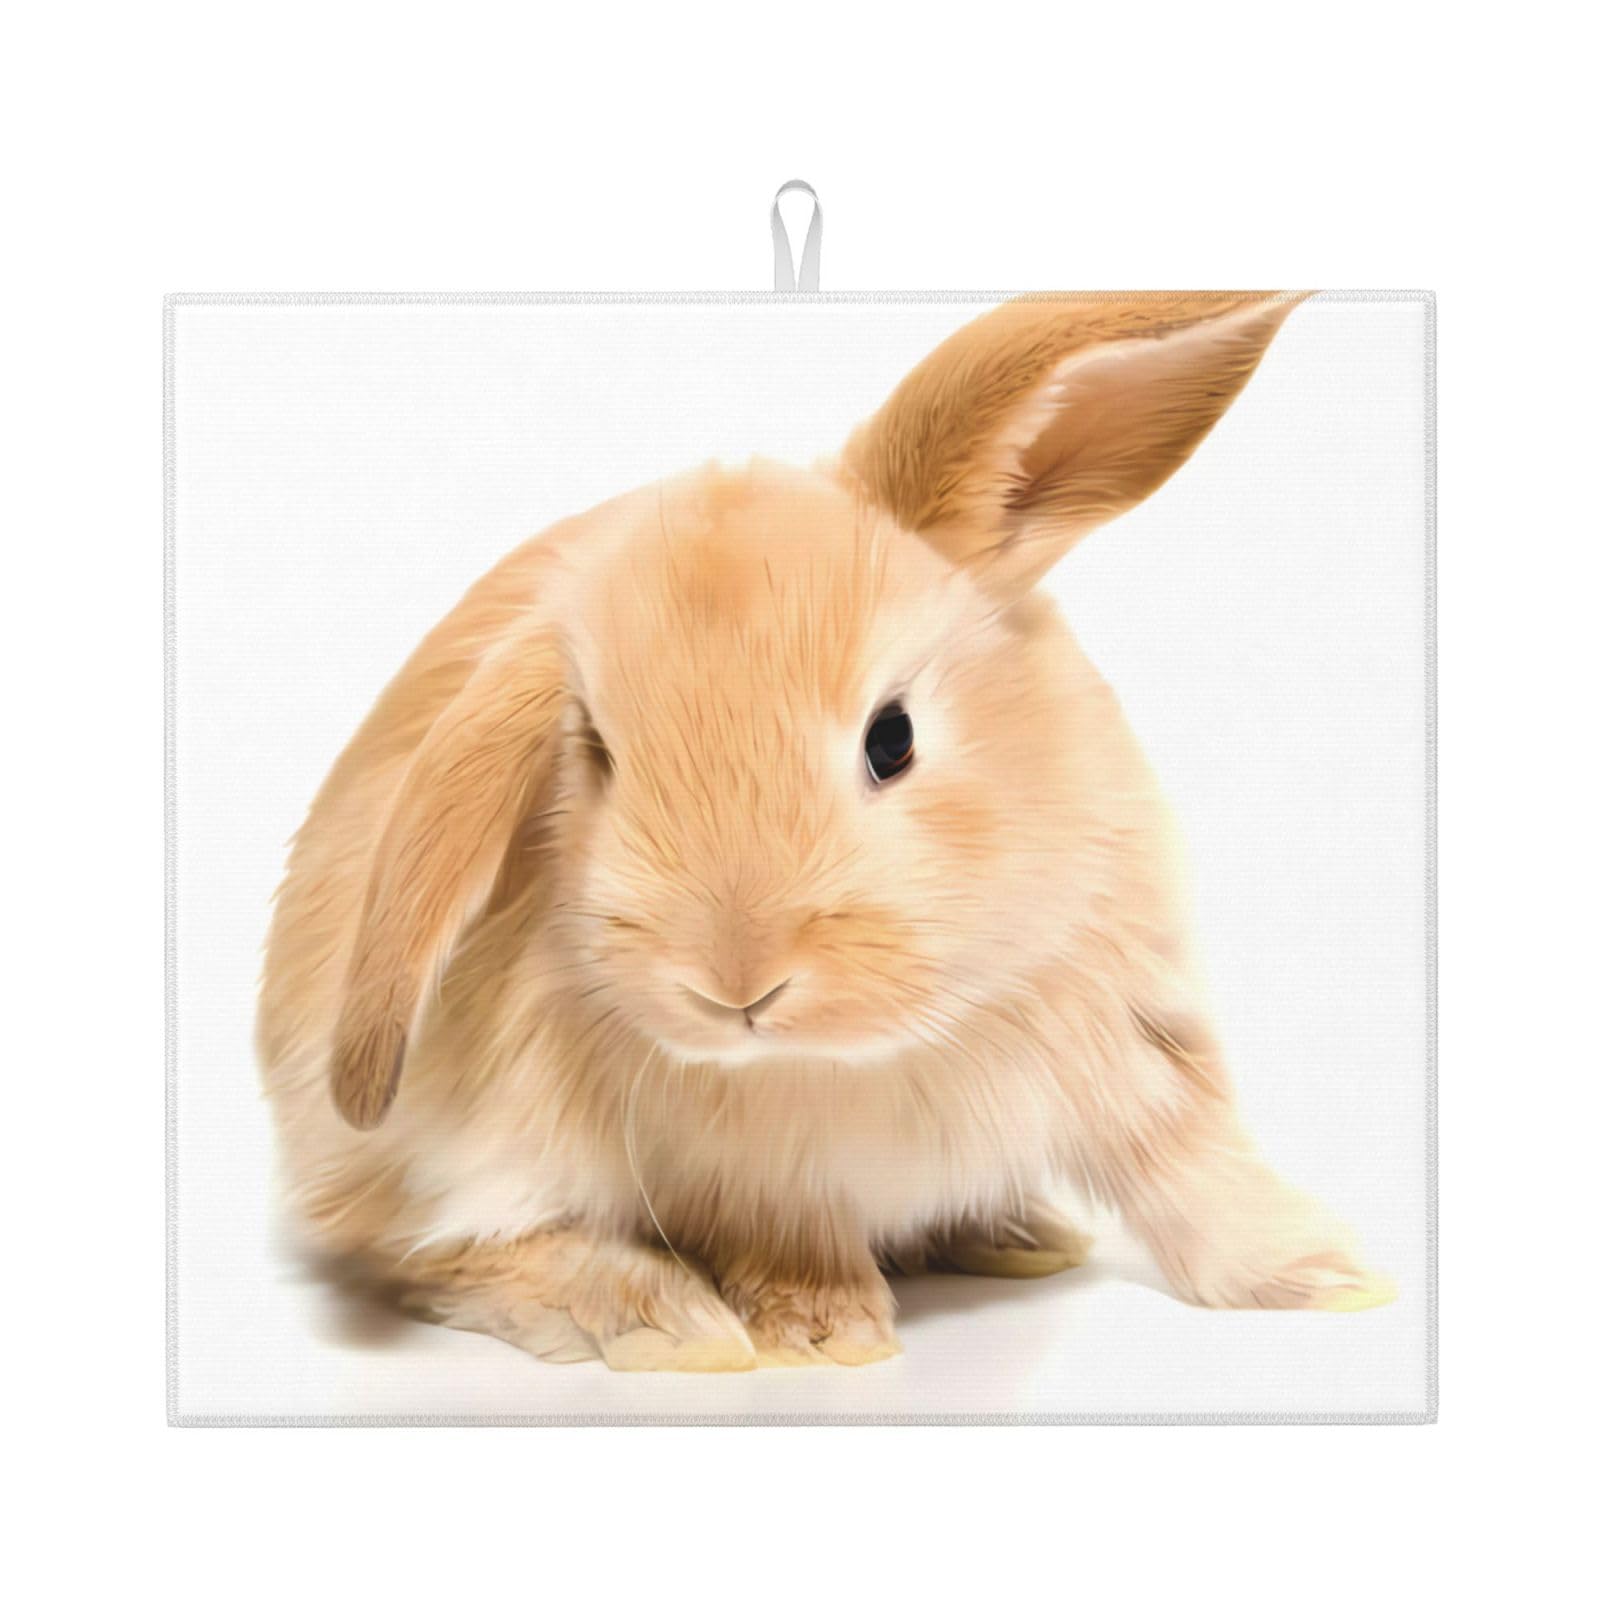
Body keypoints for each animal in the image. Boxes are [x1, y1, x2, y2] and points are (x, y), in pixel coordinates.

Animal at [258, 292, 1394, 1372]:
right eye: (592, 752)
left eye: (892, 737)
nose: (733, 983)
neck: (882, 1043)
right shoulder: (740, 1173)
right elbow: (782, 1235)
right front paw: (824, 1333)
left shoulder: (1139, 1045)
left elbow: (1196, 1176)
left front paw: (1332, 1278)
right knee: (437, 1255)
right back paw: (662, 1320)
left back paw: (1016, 1231)